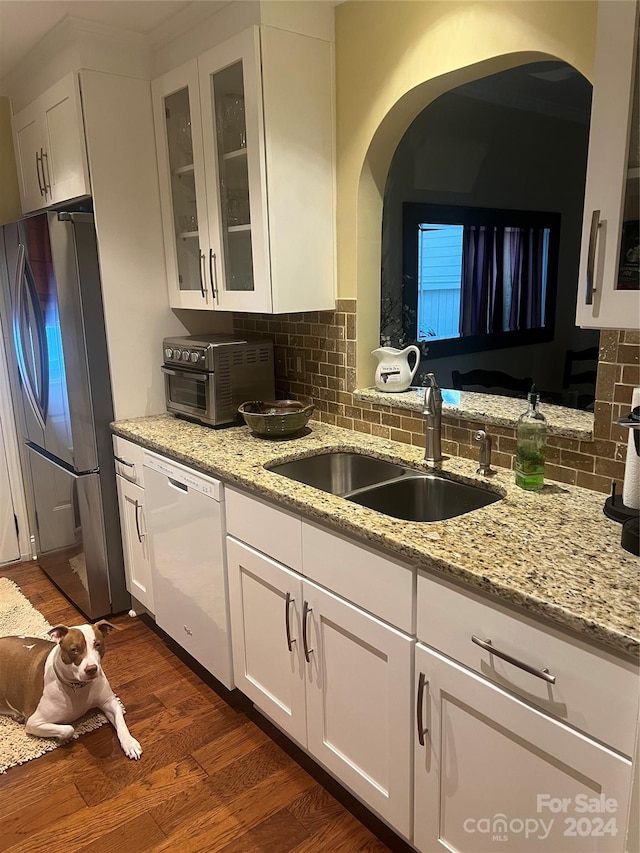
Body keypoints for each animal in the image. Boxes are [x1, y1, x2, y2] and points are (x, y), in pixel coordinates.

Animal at [0, 620, 141, 760]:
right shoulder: (34, 722)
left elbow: (120, 720)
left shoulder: (109, 702)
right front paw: (63, 738)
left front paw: (130, 743)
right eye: (74, 650)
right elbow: (68, 729)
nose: (91, 669)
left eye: (97, 644)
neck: (77, 686)